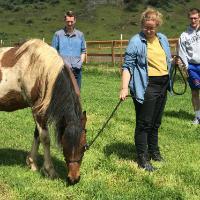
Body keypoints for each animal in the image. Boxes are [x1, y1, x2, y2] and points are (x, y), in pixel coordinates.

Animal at [0, 38, 87, 184]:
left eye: (84, 146)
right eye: (64, 145)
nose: (74, 179)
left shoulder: (40, 109)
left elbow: (37, 135)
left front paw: (32, 163)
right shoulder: (37, 110)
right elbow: (45, 138)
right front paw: (49, 170)